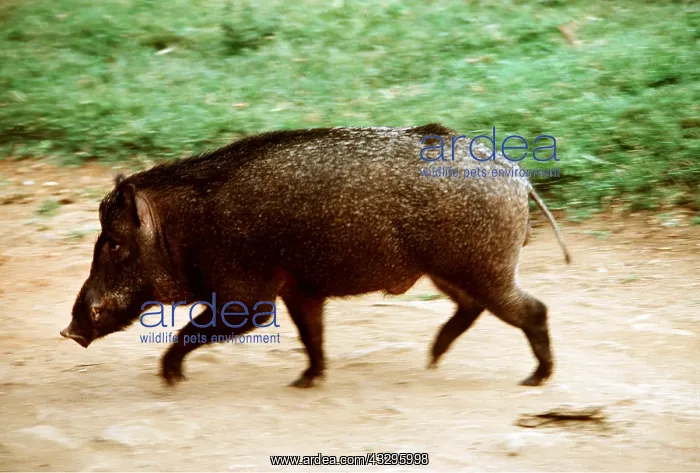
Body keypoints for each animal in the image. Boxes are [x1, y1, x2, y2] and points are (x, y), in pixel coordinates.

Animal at [61, 124, 571, 388]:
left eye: (114, 243)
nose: (69, 331)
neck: (184, 228)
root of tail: (518, 177)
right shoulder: (299, 289)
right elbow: (312, 335)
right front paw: (307, 380)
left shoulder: (248, 300)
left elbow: (194, 330)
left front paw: (169, 377)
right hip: (452, 271)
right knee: (472, 308)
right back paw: (432, 360)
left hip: (481, 269)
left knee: (534, 310)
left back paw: (535, 379)